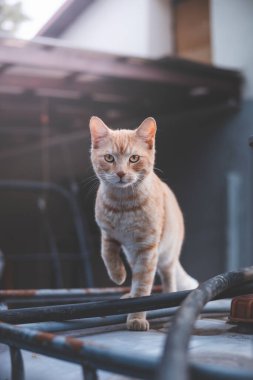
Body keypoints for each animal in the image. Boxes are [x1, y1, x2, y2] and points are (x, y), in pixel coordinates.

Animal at [90, 116, 199, 330]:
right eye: (109, 158)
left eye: (134, 158)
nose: (121, 173)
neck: (122, 205)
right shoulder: (108, 234)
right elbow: (107, 254)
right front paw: (118, 275)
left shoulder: (147, 248)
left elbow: (142, 288)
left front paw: (137, 318)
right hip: (132, 254)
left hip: (166, 255)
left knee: (168, 277)